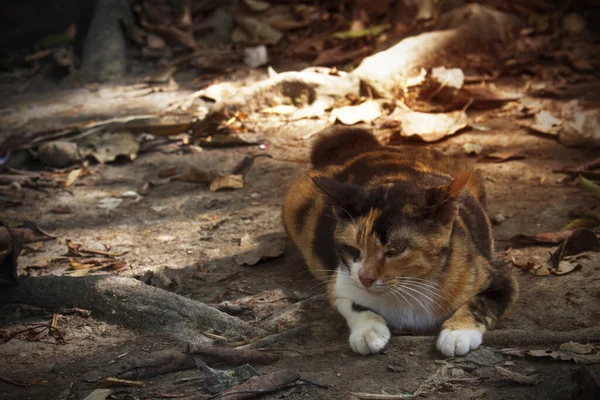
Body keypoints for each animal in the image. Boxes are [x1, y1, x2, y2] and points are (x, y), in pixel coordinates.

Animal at [282, 126, 516, 356]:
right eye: (351, 249)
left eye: (395, 250)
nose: (365, 278)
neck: (410, 290)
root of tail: (365, 148)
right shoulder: (340, 281)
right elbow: (353, 304)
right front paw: (368, 332)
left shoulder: (499, 279)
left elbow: (479, 304)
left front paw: (458, 333)